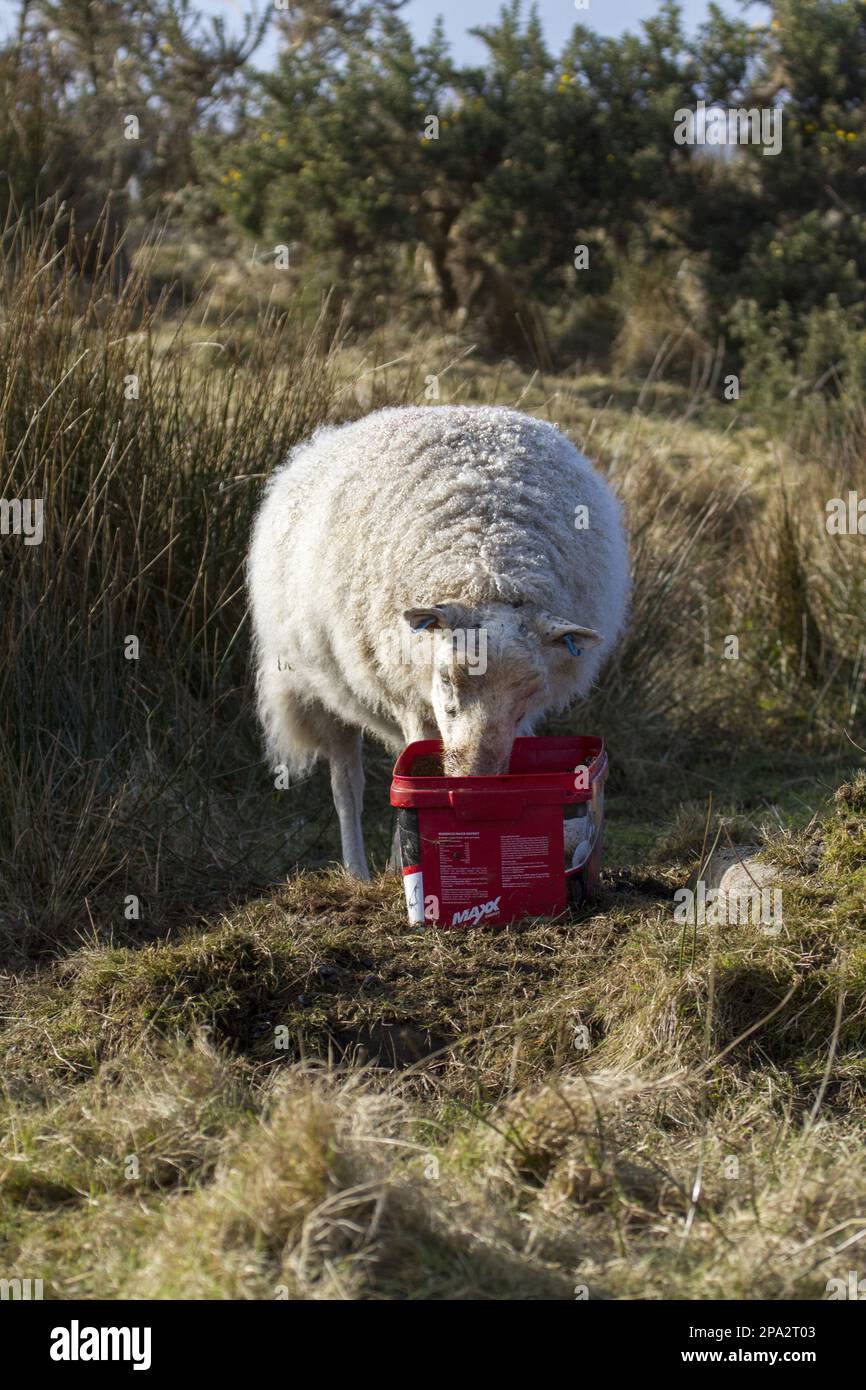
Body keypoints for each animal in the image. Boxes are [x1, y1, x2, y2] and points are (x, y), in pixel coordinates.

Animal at [247, 404, 630, 879]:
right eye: (447, 680)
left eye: (529, 692)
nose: (477, 781)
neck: (488, 565)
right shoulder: (409, 696)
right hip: (321, 689)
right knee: (346, 784)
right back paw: (359, 870)